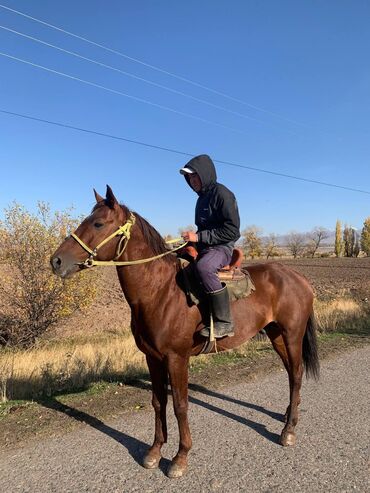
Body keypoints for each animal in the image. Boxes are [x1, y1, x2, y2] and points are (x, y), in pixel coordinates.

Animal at [50, 184, 320, 476]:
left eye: (98, 223)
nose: (56, 261)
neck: (160, 292)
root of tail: (298, 277)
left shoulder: (176, 358)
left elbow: (180, 405)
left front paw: (180, 457)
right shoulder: (153, 358)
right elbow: (158, 402)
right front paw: (154, 451)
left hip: (292, 335)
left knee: (296, 374)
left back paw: (288, 431)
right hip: (276, 335)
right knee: (291, 374)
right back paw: (288, 415)